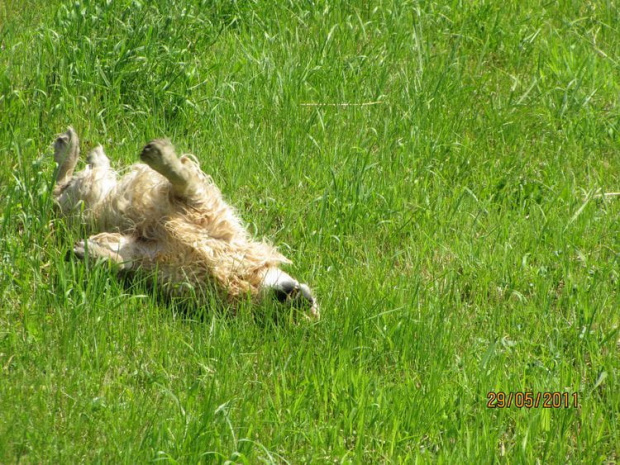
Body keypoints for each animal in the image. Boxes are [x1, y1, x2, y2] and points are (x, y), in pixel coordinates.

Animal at [53, 127, 320, 320]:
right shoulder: (202, 208)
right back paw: (75, 146)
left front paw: (90, 252)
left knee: (62, 186)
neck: (237, 275)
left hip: (80, 203)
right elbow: (184, 180)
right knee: (66, 179)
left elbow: (126, 261)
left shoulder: (158, 262)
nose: (300, 299)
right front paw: (161, 156)